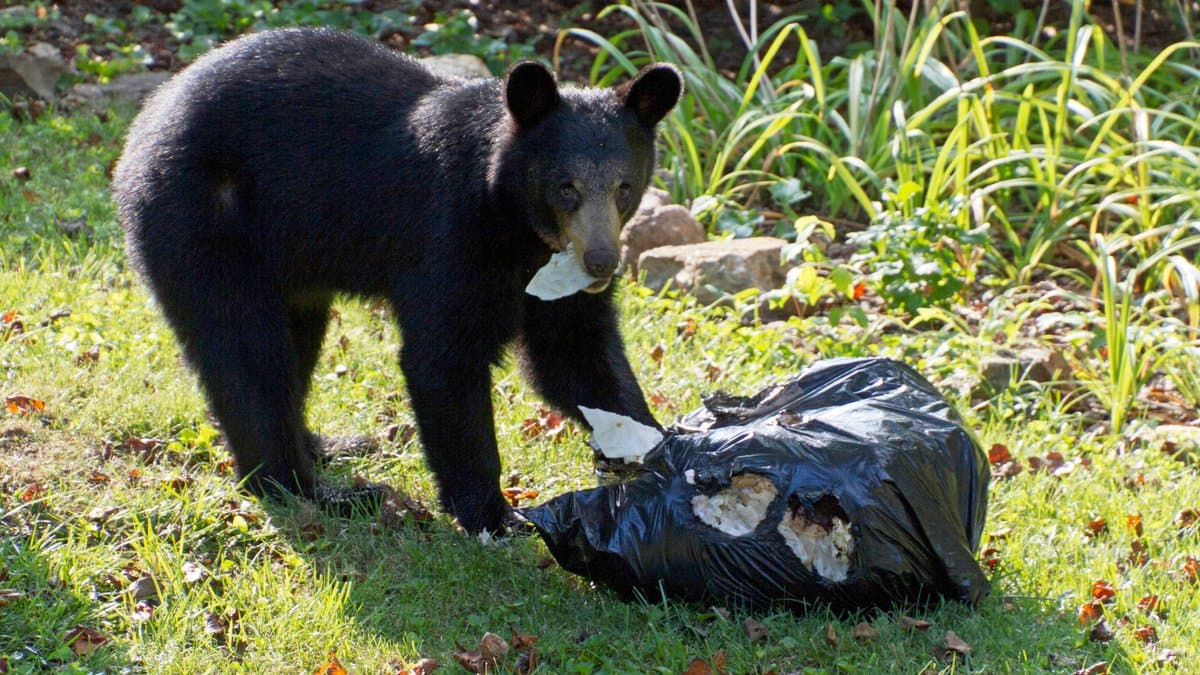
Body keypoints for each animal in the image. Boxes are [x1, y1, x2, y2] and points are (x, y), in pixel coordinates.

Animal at [111, 27, 682, 534]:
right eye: (566, 187)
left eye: (624, 187)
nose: (601, 263)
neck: (519, 228)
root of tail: (144, 126)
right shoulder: (449, 234)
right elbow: (443, 357)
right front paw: (495, 516)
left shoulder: (553, 280)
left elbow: (576, 356)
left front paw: (657, 451)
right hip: (205, 220)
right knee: (246, 350)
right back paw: (313, 489)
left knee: (295, 341)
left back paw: (324, 445)